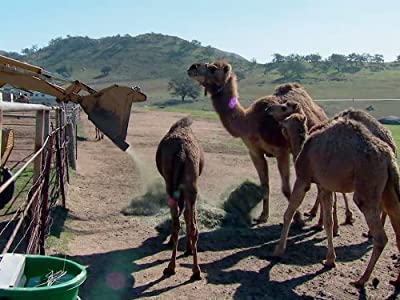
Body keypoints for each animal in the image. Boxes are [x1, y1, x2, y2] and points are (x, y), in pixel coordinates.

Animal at [155, 116, 205, 280]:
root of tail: (181, 152)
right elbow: (188, 216)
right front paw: (188, 249)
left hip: (170, 184)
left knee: (176, 222)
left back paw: (171, 267)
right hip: (191, 184)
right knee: (193, 225)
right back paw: (196, 271)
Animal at [188, 61, 328, 224]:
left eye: (212, 68)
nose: (192, 67)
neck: (249, 122)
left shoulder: (281, 151)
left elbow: (285, 188)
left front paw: (297, 218)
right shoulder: (255, 153)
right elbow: (264, 186)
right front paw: (263, 216)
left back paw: (316, 216)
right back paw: (313, 212)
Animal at [270, 113, 400, 288]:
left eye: (286, 118)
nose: (279, 123)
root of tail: (389, 158)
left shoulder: (303, 178)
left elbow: (288, 213)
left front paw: (278, 251)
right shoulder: (325, 186)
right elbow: (328, 221)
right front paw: (330, 260)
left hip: (367, 186)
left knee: (381, 237)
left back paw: (361, 280)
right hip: (389, 188)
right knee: (395, 220)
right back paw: (396, 280)